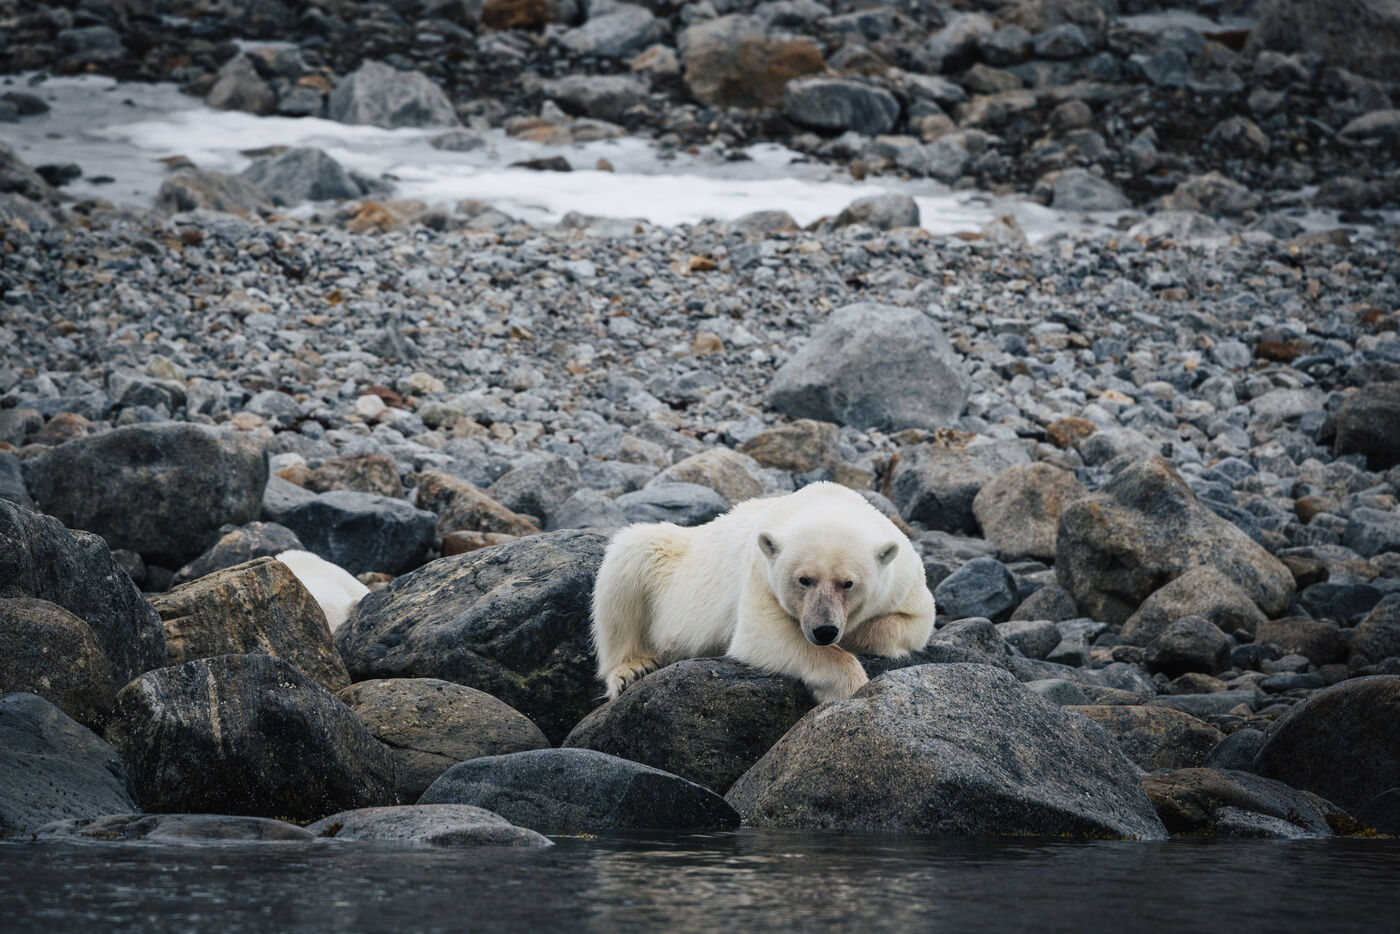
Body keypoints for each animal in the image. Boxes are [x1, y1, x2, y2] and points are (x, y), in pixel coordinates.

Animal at [590, 481, 935, 703]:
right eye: (804, 580)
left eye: (847, 583)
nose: (824, 630)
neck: (829, 500)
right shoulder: (760, 572)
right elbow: (764, 634)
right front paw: (848, 686)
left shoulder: (904, 578)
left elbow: (913, 621)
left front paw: (854, 636)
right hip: (669, 559)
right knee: (629, 563)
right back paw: (630, 669)